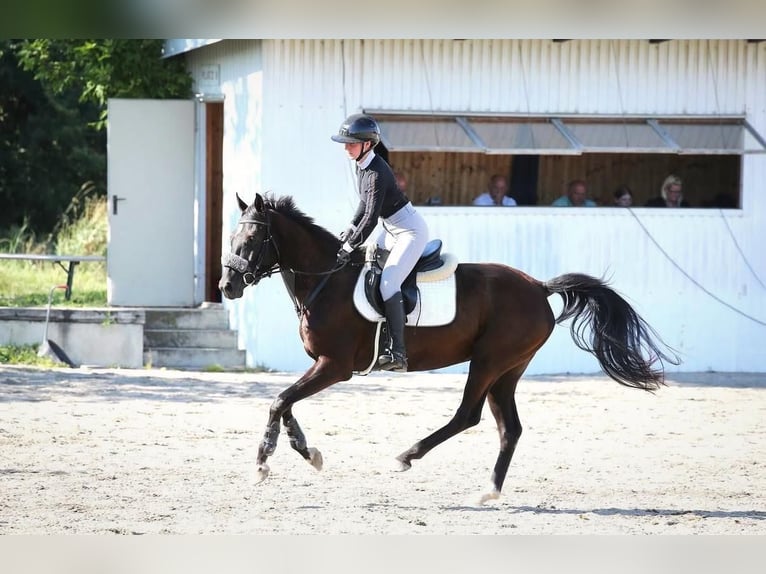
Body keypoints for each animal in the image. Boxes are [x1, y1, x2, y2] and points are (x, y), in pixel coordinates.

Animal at [219, 192, 679, 504]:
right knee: (509, 428)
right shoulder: (321, 365)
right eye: (232, 235)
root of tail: (538, 286)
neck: (327, 280)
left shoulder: (335, 366)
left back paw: (407, 455)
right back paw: (488, 492)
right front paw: (308, 452)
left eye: (254, 237)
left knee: (467, 415)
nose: (227, 286)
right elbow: (287, 404)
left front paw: (262, 463)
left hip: (489, 361)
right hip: (508, 370)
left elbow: (279, 400)